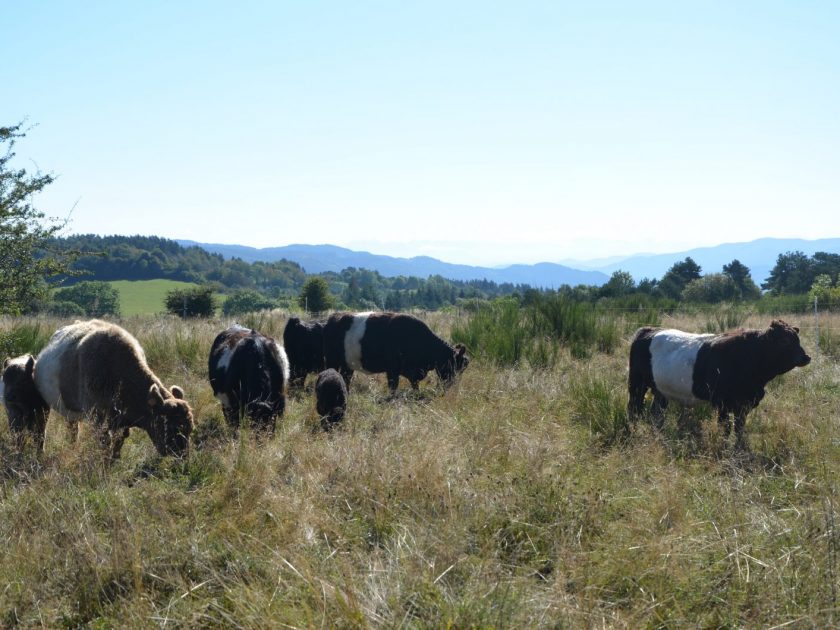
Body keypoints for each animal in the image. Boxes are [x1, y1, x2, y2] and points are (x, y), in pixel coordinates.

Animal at [32, 320, 194, 460]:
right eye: (170, 427)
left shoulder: (123, 423)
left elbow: (118, 444)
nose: (182, 456)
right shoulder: (97, 418)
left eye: (190, 429)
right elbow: (104, 443)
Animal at [322, 312, 470, 396]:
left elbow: (415, 385)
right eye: (455, 366)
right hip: (332, 362)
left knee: (346, 380)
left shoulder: (412, 372)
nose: (448, 387)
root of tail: (331, 319)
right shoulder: (392, 370)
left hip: (347, 366)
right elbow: (393, 387)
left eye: (462, 369)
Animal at [628, 320, 812, 450]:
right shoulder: (722, 403)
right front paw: (724, 447)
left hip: (660, 391)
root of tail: (649, 330)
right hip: (637, 384)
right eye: (784, 341)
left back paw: (659, 434)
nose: (806, 357)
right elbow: (726, 428)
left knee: (656, 413)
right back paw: (633, 432)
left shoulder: (743, 404)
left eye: (797, 339)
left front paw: (739, 448)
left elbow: (739, 428)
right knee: (634, 409)